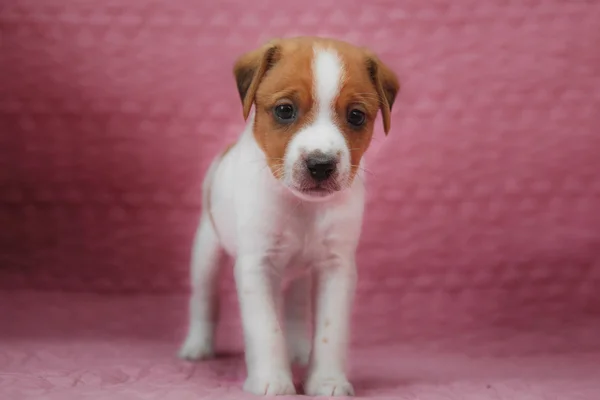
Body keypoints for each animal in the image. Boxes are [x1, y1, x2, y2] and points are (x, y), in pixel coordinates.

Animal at [180, 35, 400, 396]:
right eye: (285, 110)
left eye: (356, 116)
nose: (321, 164)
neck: (302, 207)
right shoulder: (256, 266)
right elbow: (266, 329)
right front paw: (271, 381)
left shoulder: (336, 268)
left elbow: (330, 331)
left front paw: (327, 381)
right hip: (206, 251)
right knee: (204, 299)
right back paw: (197, 346)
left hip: (300, 273)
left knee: (296, 306)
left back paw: (297, 350)